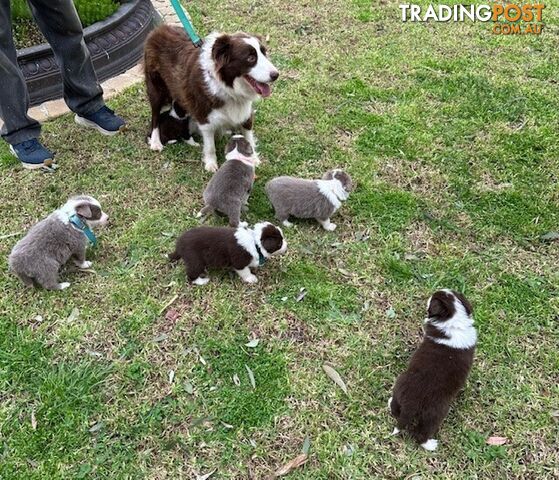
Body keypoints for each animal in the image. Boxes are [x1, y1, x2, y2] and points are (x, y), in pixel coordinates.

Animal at [144, 24, 280, 172]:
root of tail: (158, 29)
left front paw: (254, 158)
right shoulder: (204, 117)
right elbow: (210, 146)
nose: (276, 75)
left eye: (264, 53)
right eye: (250, 58)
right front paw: (211, 163)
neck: (228, 87)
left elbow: (248, 135)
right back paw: (156, 141)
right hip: (156, 89)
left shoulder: (245, 111)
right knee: (155, 117)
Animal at [390, 290, 476, 452]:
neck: (454, 319)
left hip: (404, 387)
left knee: (400, 415)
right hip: (433, 414)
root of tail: (411, 404)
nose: (428, 296)